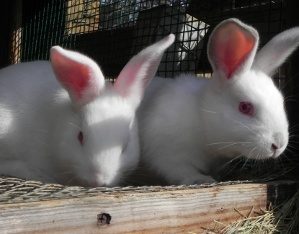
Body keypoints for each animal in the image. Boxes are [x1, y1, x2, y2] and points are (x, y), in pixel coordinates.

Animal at [138, 18, 299, 185]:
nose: (278, 145)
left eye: (281, 102)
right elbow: (180, 171)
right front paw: (201, 179)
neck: (201, 116)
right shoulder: (167, 154)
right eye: (245, 107)